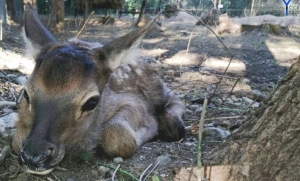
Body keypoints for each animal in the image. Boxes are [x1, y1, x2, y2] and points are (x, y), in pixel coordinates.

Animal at [13, 3, 185, 175]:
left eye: (91, 102)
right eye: (26, 94)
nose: (34, 155)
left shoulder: (134, 101)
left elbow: (117, 136)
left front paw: (153, 126)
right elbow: (16, 139)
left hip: (157, 87)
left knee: (176, 99)